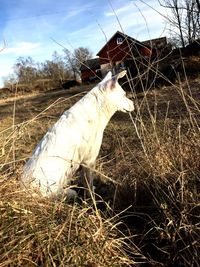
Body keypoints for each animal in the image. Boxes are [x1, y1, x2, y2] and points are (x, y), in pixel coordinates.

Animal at [20, 70, 134, 200]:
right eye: (124, 95)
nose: (134, 104)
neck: (95, 110)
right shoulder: (89, 161)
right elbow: (88, 184)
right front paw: (91, 199)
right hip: (67, 192)